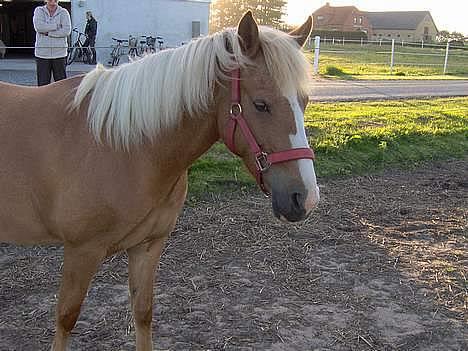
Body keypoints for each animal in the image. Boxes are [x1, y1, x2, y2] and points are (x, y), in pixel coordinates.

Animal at [0, 11, 318, 351]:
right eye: (260, 104)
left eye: (305, 101)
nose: (306, 197)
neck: (124, 145)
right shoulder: (81, 251)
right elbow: (66, 318)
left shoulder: (148, 246)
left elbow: (143, 312)